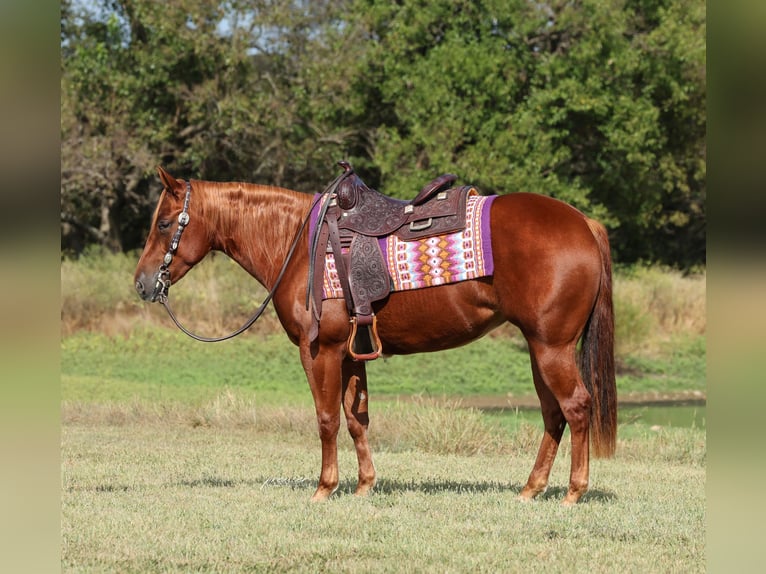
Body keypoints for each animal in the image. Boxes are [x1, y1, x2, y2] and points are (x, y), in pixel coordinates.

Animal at [134, 165, 616, 505]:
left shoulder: (320, 351)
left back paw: (573, 492)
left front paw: (324, 487)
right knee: (553, 414)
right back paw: (531, 489)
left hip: (552, 348)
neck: (298, 244)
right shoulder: (351, 354)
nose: (142, 284)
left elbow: (326, 418)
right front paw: (365, 485)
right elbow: (355, 419)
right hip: (540, 348)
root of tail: (584, 223)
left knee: (576, 407)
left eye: (164, 224)